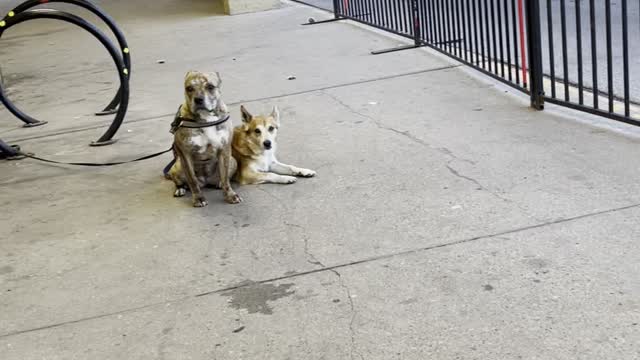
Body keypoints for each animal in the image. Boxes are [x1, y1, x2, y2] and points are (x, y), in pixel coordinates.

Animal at [166, 70, 241, 207]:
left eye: (210, 87)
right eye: (189, 88)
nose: (198, 99)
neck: (206, 118)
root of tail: (205, 182)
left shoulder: (225, 150)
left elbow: (225, 176)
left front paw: (230, 195)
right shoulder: (185, 155)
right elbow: (192, 180)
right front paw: (198, 198)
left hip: (233, 160)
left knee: (224, 178)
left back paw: (219, 183)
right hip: (177, 166)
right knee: (182, 182)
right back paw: (180, 189)